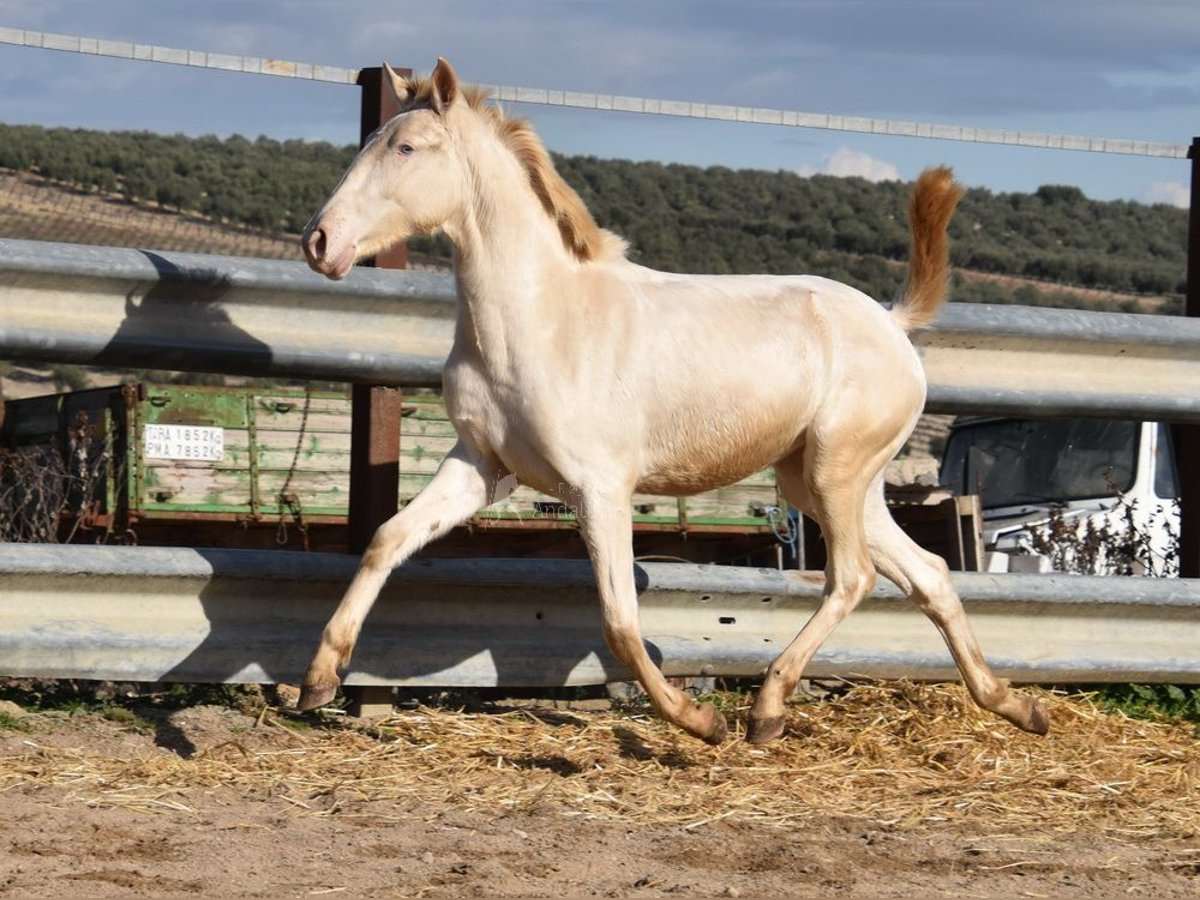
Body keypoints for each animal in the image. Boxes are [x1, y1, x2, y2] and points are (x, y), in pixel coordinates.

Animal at [302, 58, 1051, 748]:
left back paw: (766, 712)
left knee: (852, 577)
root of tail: (894, 324)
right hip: (823, 482)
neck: (539, 320)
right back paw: (1016, 705)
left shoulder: (599, 487)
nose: (319, 242)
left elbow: (620, 620)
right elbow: (387, 539)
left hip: (837, 473)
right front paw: (319, 680)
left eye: (406, 147)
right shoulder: (482, 466)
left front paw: (699, 722)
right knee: (928, 574)